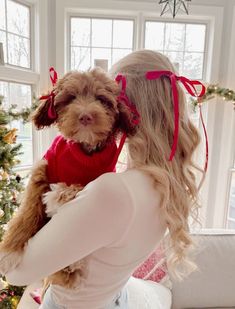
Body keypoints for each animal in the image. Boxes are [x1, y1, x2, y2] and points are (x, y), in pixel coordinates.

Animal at [0, 68, 136, 292]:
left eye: (102, 99)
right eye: (71, 98)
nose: (85, 116)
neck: (83, 151)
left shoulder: (101, 179)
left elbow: (75, 187)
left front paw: (59, 195)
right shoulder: (43, 170)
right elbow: (28, 210)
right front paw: (9, 251)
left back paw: (71, 269)